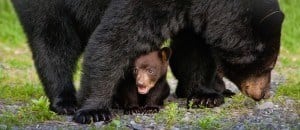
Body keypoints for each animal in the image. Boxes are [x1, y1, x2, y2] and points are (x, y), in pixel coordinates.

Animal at [11, 0, 284, 124]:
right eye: (269, 66)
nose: (263, 93)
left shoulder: (193, 12)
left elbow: (194, 48)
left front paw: (204, 96)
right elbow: (115, 38)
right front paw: (93, 110)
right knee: (52, 41)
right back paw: (65, 101)